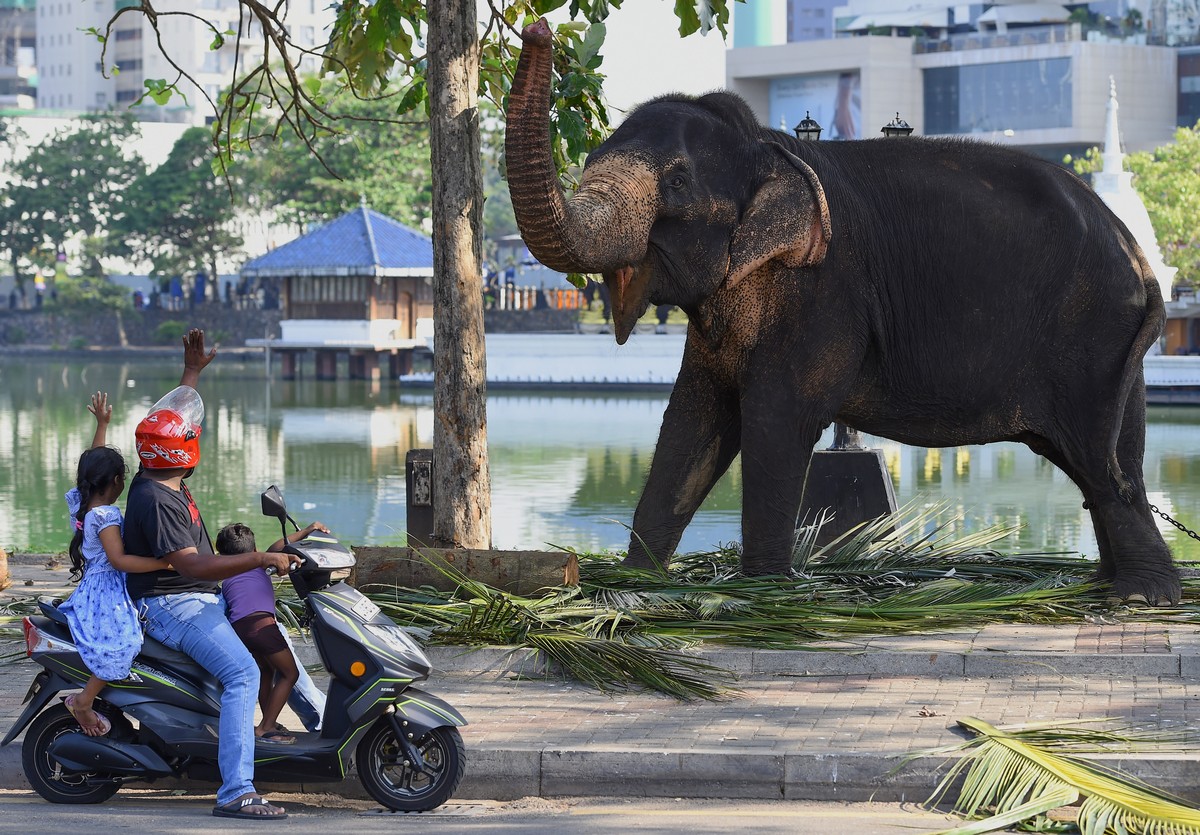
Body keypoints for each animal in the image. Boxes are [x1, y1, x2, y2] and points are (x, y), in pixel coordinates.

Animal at [504, 17, 1180, 607]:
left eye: (675, 184)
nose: (537, 29)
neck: (769, 147)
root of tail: (1143, 261)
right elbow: (692, 418)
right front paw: (637, 581)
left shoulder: (822, 292)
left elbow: (777, 416)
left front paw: (765, 594)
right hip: (1112, 351)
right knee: (1110, 461)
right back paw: (1114, 586)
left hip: (1091, 334)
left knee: (1098, 461)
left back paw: (1138, 596)